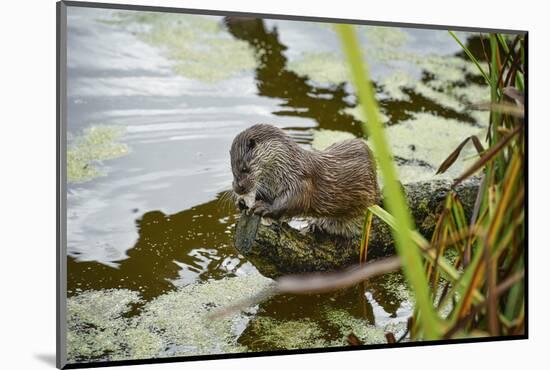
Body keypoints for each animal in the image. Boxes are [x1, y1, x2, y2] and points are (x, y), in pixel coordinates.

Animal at [229, 124, 380, 237]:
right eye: (232, 169)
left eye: (244, 168)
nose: (238, 188)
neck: (287, 166)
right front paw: (241, 202)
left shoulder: (300, 180)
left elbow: (294, 201)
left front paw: (264, 207)